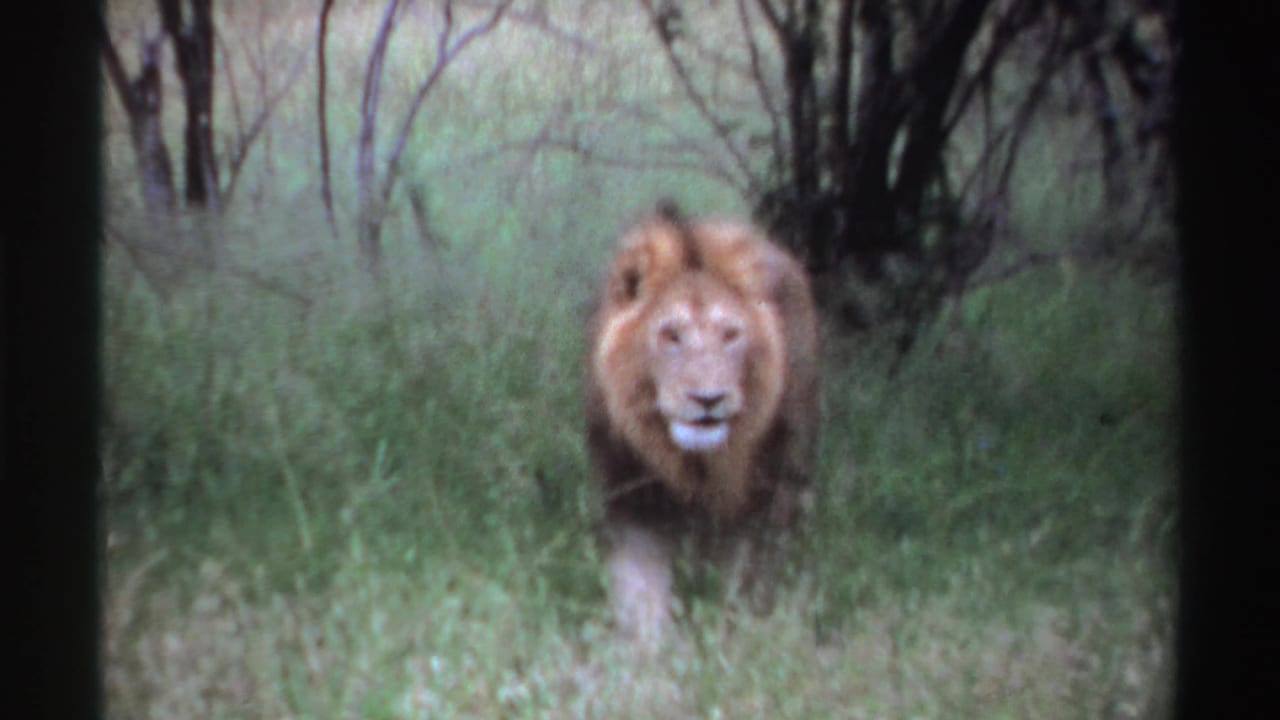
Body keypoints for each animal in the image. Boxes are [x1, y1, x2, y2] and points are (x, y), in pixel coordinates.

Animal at [585, 202, 820, 647]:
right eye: (671, 335)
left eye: (730, 335)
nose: (708, 399)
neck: (693, 461)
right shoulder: (635, 497)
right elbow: (641, 586)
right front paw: (650, 650)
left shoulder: (759, 504)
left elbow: (742, 581)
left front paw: (731, 640)